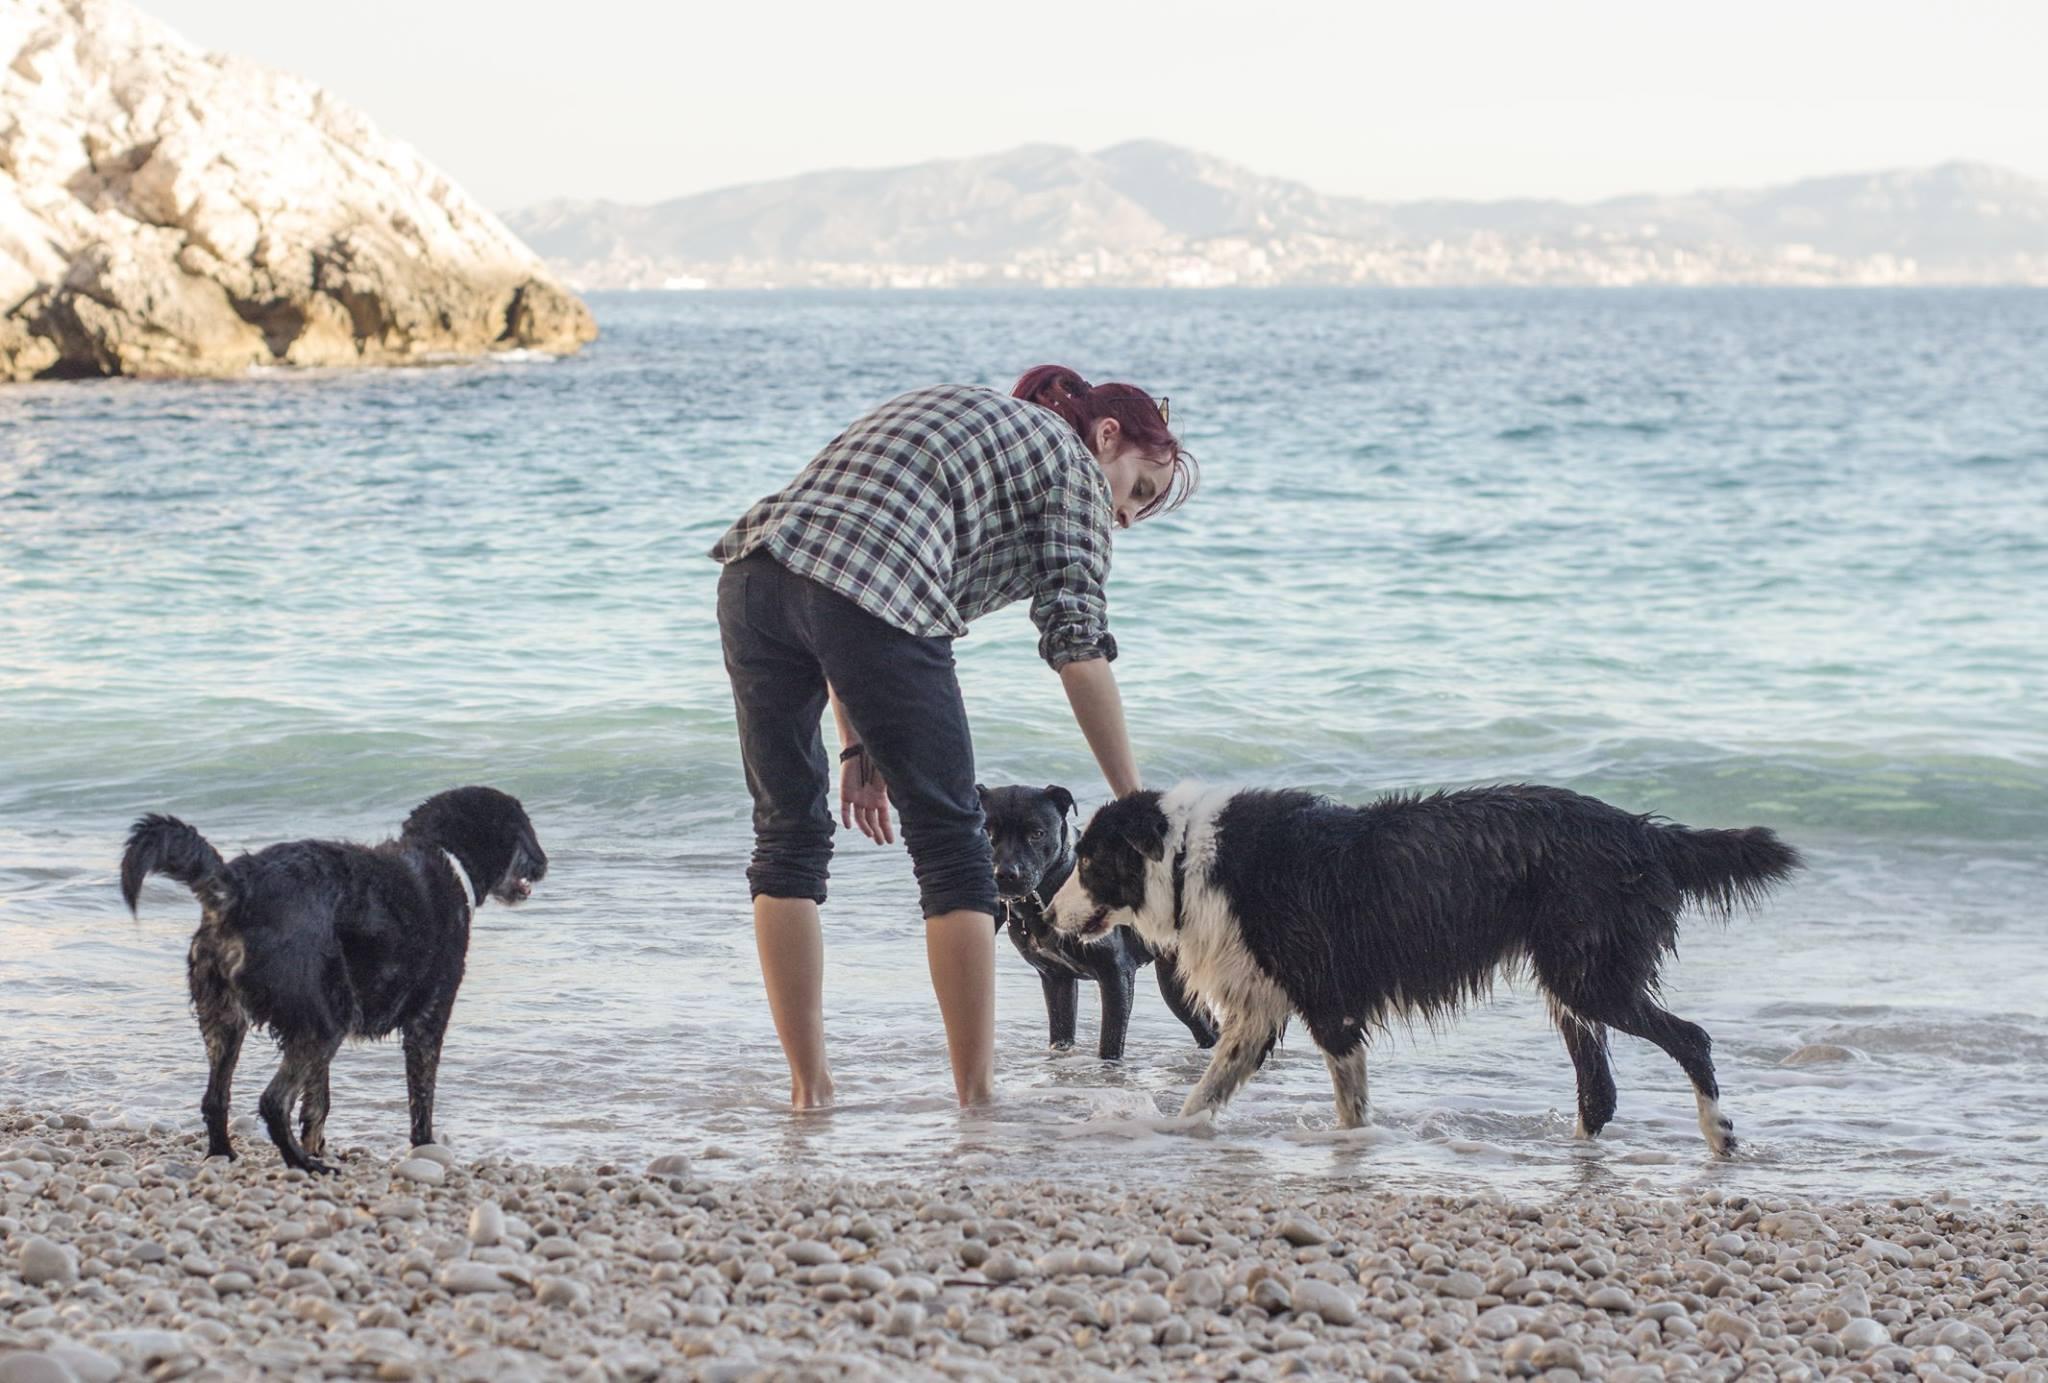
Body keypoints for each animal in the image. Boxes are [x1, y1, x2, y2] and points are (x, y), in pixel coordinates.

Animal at [119, 790, 544, 1171]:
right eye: (526, 830)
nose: (544, 862)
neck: (446, 857)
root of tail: (238, 889)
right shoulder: (428, 1020)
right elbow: (420, 1102)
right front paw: (424, 1148)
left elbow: (317, 1104)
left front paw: (317, 1145)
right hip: (326, 1023)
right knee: (273, 1101)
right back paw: (304, 1165)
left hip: (227, 1019)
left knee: (215, 1098)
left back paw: (227, 1154)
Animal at [978, 778, 1212, 1057]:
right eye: (987, 831)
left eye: (1037, 833)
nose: (1004, 874)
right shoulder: (1056, 979)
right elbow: (1061, 1033)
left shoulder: (1116, 974)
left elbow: (1110, 1042)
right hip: (1176, 985)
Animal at [1048, 782, 1802, 1155]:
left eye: (1086, 861)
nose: (1047, 914)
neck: (1187, 859)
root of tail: (1643, 832)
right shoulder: (1258, 1013)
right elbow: (1202, 1095)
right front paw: (1169, 1133)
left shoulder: (1329, 1007)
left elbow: (1350, 1103)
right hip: (1572, 984)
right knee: (1600, 1091)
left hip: (1592, 976)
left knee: (1692, 1038)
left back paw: (1719, 1135)